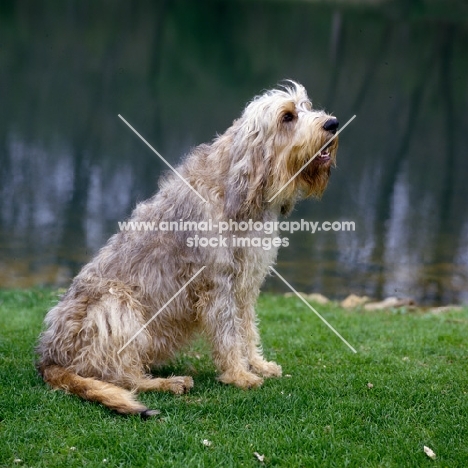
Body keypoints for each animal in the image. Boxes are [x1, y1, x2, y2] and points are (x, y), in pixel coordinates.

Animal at [34, 81, 338, 416]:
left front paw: (257, 364)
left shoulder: (245, 285)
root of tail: (49, 359)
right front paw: (239, 374)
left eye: (306, 106)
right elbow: (228, 334)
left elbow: (246, 328)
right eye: (287, 116)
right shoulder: (217, 285)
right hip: (116, 304)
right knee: (122, 376)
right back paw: (167, 383)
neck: (240, 190)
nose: (333, 123)